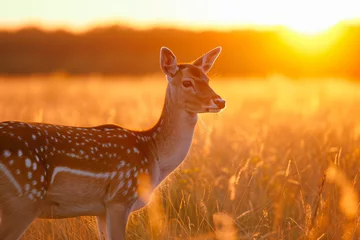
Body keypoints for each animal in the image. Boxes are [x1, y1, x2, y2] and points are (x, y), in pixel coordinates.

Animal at [0, 46, 225, 239]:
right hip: (24, 199)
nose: (220, 101)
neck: (153, 153)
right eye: (187, 82)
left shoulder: (101, 209)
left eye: (207, 79)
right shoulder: (120, 198)